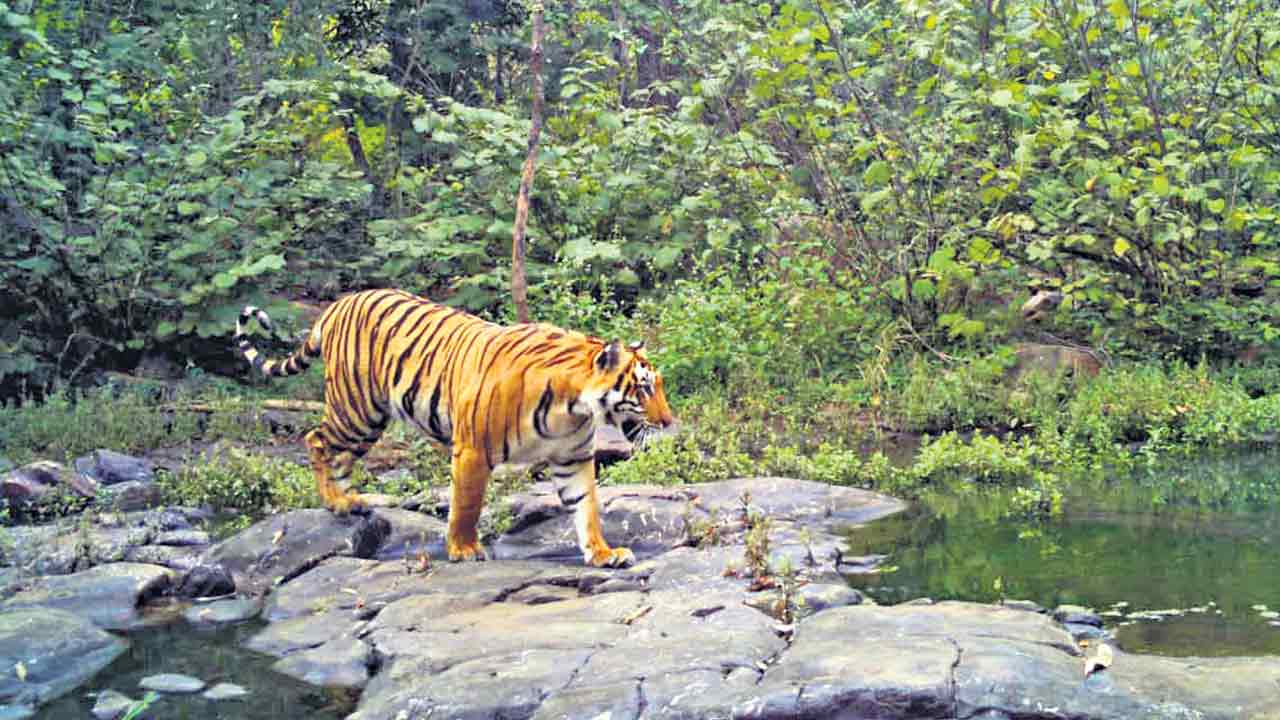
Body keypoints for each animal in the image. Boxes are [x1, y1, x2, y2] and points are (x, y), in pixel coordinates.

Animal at [233, 288, 675, 567]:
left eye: (658, 385)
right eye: (644, 388)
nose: (669, 421)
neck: (573, 407)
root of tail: (338, 303)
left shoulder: (573, 459)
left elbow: (586, 509)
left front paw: (603, 554)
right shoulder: (473, 450)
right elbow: (466, 505)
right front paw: (463, 549)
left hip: (369, 419)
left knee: (340, 456)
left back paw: (351, 501)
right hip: (354, 408)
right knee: (315, 439)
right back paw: (334, 501)